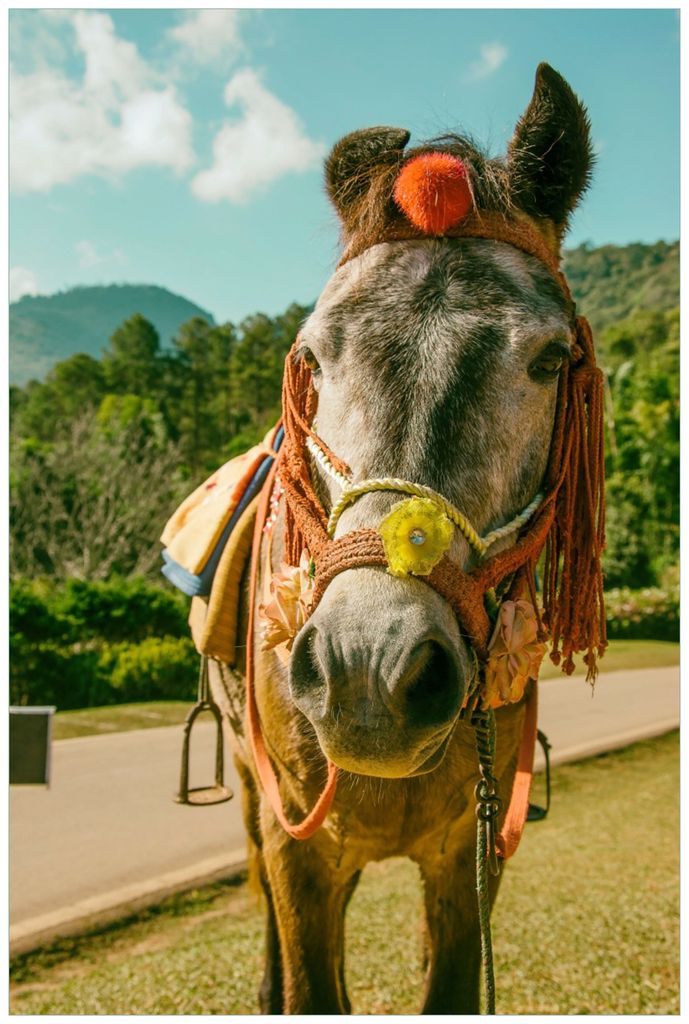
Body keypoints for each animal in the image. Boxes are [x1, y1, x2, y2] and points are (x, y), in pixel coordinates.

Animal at [209, 62, 605, 1014]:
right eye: (312, 358)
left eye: (548, 360)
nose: (368, 670)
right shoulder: (296, 843)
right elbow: (307, 976)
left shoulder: (469, 851)